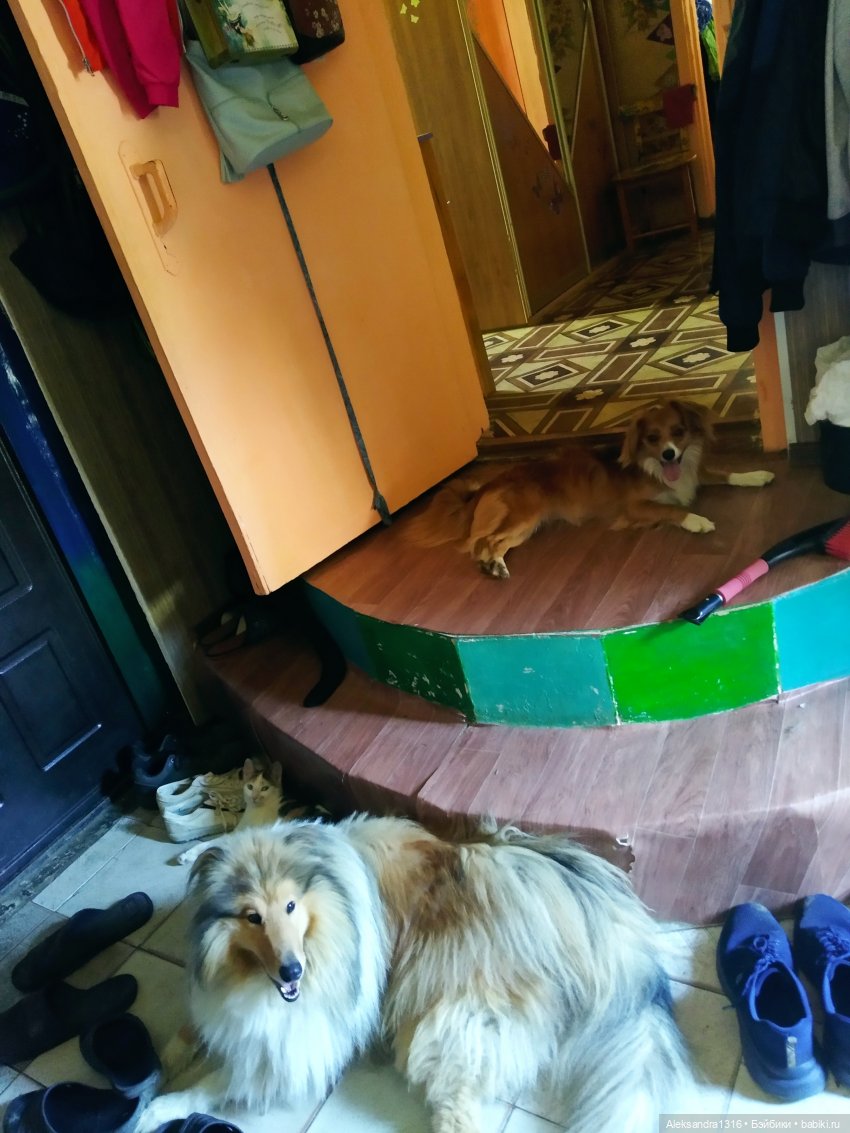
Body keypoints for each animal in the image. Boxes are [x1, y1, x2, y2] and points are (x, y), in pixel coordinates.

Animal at [135, 815, 691, 1133]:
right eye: (252, 916)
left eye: (290, 906)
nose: (292, 969)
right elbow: (193, 1030)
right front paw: (163, 1060)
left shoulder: (302, 1037)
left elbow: (224, 1077)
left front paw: (157, 1108)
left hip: (447, 1016)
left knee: (458, 1104)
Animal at [405, 399, 775, 578]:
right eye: (652, 438)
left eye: (679, 431)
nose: (669, 454)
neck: (659, 469)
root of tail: (487, 484)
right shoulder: (634, 507)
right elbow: (671, 507)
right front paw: (696, 520)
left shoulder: (695, 474)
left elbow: (727, 473)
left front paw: (756, 475)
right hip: (524, 517)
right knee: (485, 542)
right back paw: (495, 566)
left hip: (526, 529)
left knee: (486, 544)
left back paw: (492, 566)